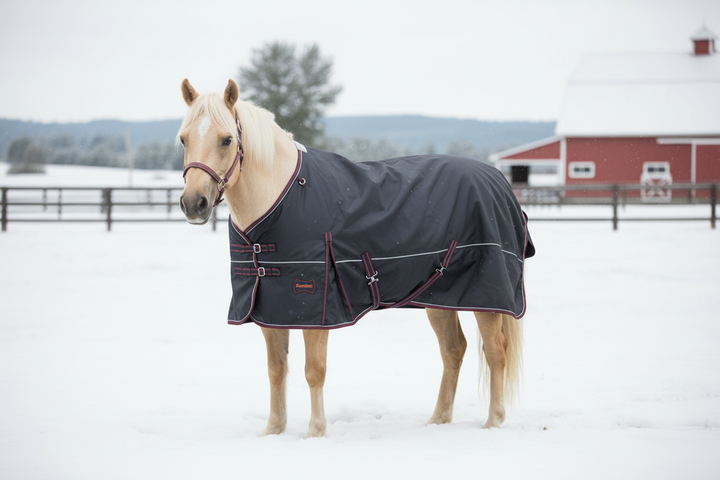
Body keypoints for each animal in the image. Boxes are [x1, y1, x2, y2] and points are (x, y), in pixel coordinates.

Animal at [177, 78, 532, 438]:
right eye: (183, 139)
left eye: (227, 139)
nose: (194, 204)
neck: (281, 199)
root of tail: (498, 181)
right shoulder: (270, 307)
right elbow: (276, 369)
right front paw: (273, 431)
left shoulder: (316, 308)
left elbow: (314, 370)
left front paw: (315, 432)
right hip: (439, 296)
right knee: (453, 350)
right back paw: (438, 419)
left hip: (488, 297)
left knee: (495, 352)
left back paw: (493, 422)